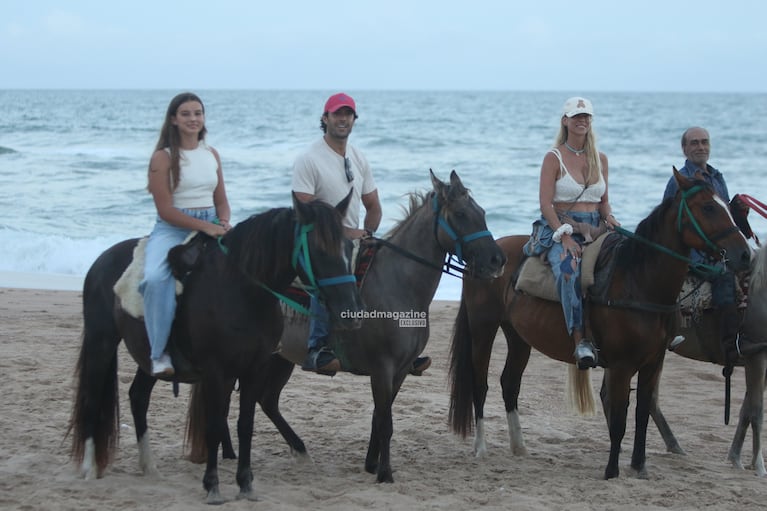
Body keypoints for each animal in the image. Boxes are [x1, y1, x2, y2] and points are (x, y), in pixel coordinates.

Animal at [68, 193, 364, 504]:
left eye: (348, 246)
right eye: (320, 249)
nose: (351, 311)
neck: (241, 290)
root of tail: (102, 260)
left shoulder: (255, 368)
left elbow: (245, 424)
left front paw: (245, 483)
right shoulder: (214, 370)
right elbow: (213, 425)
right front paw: (212, 485)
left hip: (149, 358)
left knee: (138, 397)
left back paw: (148, 466)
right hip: (100, 342)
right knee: (91, 398)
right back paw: (89, 467)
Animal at [448, 168, 752, 480]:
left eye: (727, 207)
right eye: (708, 207)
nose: (744, 254)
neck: (638, 282)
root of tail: (490, 253)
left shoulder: (653, 363)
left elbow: (642, 415)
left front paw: (639, 467)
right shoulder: (621, 367)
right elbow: (619, 419)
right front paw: (611, 471)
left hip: (519, 336)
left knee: (509, 383)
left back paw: (519, 447)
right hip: (483, 328)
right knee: (480, 384)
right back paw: (481, 447)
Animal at [648, 244, 767, 476]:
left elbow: (746, 411)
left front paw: (736, 458)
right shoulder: (756, 357)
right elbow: (756, 412)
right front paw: (759, 466)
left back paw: (675, 446)